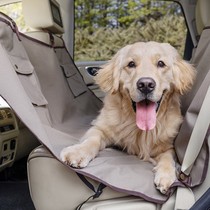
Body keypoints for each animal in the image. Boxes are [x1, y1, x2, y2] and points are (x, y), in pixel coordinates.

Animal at [60, 41, 195, 194]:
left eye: (161, 63)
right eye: (131, 64)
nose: (146, 85)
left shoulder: (168, 145)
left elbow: (168, 157)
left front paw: (167, 175)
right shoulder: (101, 128)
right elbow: (92, 140)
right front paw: (78, 152)